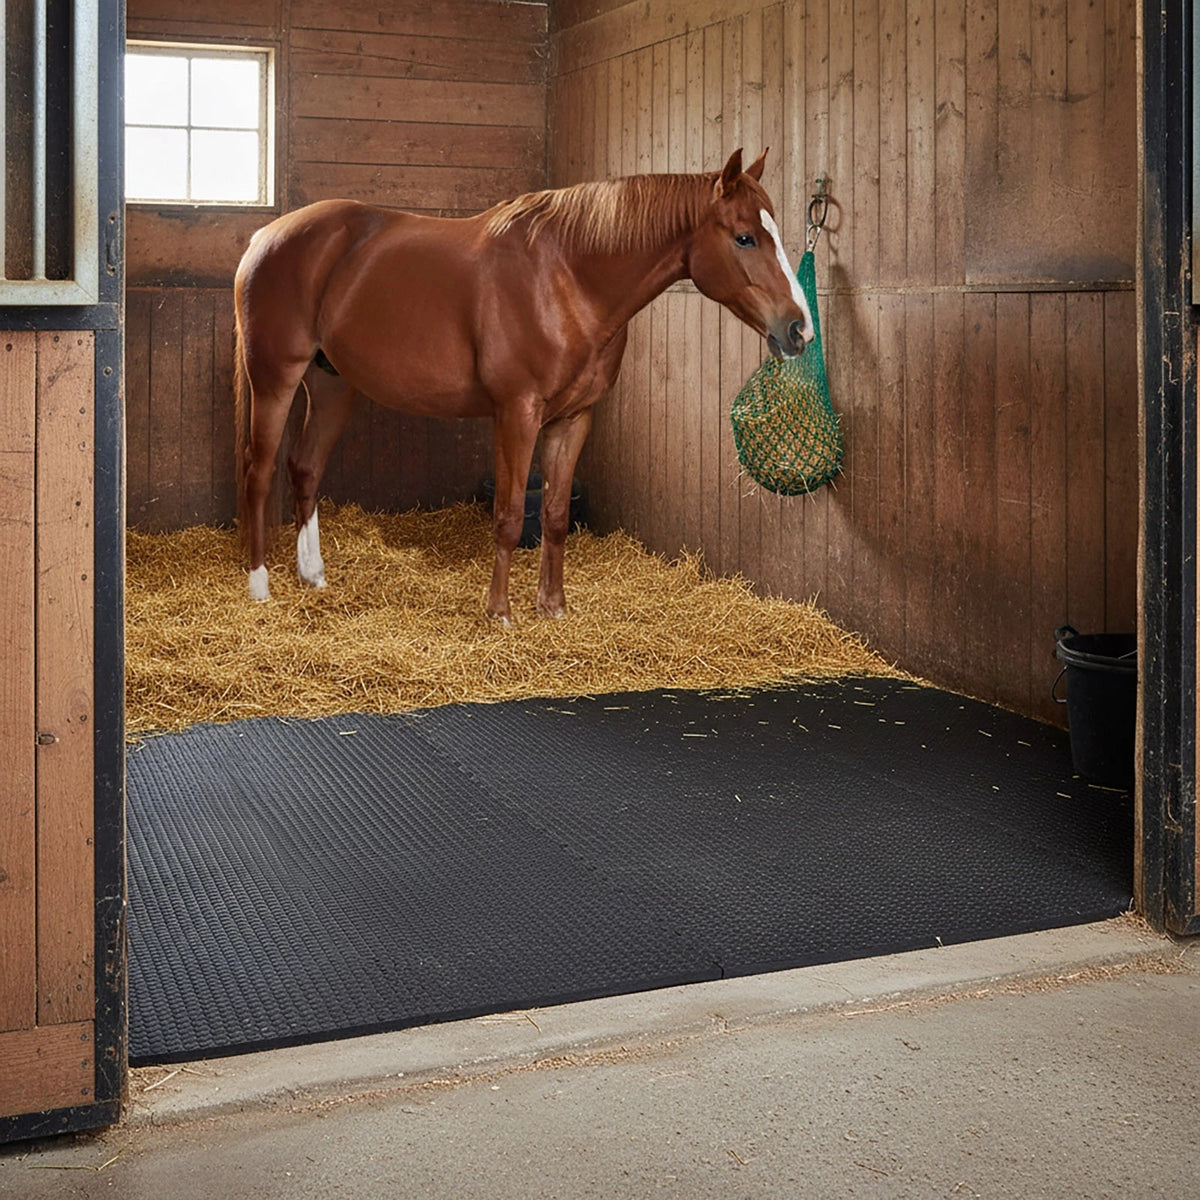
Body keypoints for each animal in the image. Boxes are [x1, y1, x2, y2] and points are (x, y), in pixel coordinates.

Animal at [233, 147, 813, 622]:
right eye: (744, 237)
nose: (799, 328)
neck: (567, 279)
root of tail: (267, 236)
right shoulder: (516, 413)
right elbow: (510, 515)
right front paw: (500, 613)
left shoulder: (574, 418)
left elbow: (554, 516)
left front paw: (552, 607)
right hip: (275, 377)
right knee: (258, 471)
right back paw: (259, 586)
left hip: (331, 383)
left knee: (305, 468)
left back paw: (313, 576)